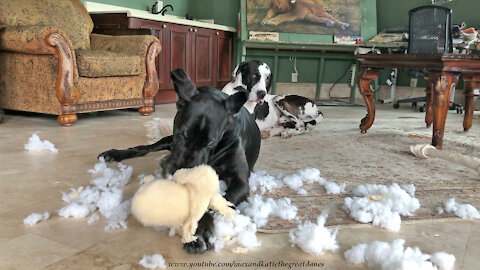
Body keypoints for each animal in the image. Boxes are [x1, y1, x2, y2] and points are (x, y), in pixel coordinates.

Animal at [99, 68, 260, 254]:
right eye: (183, 133)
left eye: (210, 142)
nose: (180, 172)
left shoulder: (240, 182)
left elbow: (211, 204)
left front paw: (199, 232)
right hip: (166, 141)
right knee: (144, 148)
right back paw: (116, 154)